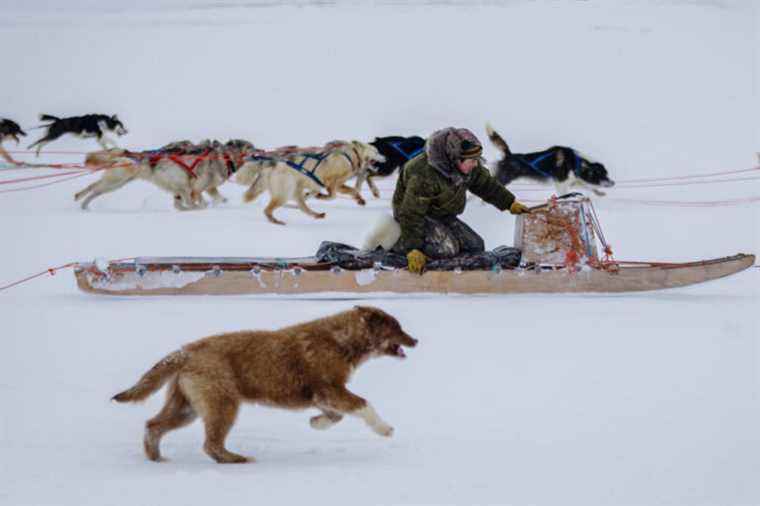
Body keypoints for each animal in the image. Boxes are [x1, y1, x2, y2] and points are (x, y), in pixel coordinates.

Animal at [111, 306, 416, 464]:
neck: (341, 339)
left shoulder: (324, 395)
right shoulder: (332, 389)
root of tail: (184, 351)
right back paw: (236, 459)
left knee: (153, 426)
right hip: (222, 404)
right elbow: (363, 405)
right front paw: (385, 429)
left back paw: (156, 459)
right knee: (210, 444)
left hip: (187, 407)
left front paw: (316, 423)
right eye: (396, 327)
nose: (416, 340)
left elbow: (336, 416)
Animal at [235, 139, 382, 224]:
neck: (351, 156)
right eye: (376, 151)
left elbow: (352, 191)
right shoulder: (332, 183)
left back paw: (316, 214)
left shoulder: (325, 185)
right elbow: (336, 194)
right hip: (285, 193)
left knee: (302, 206)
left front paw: (359, 199)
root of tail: (272, 164)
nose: (384, 157)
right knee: (268, 210)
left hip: (294, 191)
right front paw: (323, 197)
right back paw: (275, 220)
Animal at [484, 123, 616, 197]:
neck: (575, 162)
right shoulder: (561, 182)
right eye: (601, 175)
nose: (613, 183)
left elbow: (588, 187)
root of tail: (509, 155)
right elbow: (564, 194)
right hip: (504, 178)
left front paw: (599, 193)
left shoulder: (574, 181)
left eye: (607, 174)